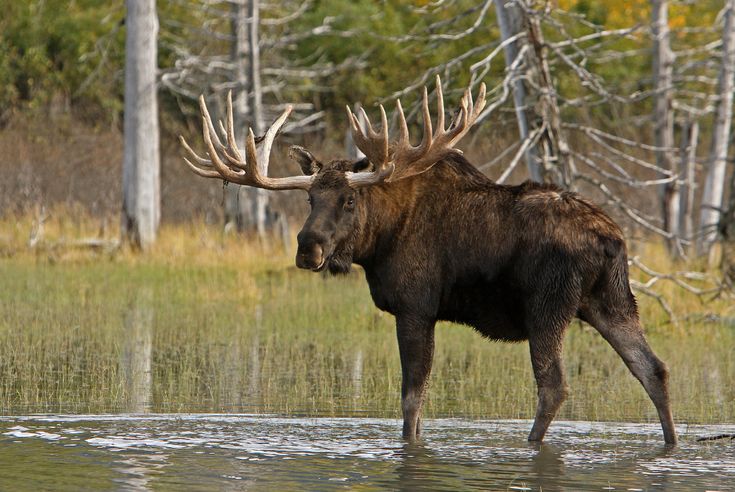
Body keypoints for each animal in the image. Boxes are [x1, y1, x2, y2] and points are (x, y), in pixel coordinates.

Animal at [180, 78, 680, 446]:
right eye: (309, 198)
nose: (308, 248)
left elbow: (411, 399)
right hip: (610, 301)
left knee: (554, 384)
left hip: (550, 306)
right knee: (652, 368)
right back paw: (671, 443)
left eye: (348, 200)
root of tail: (612, 240)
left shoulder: (415, 306)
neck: (379, 240)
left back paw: (530, 445)